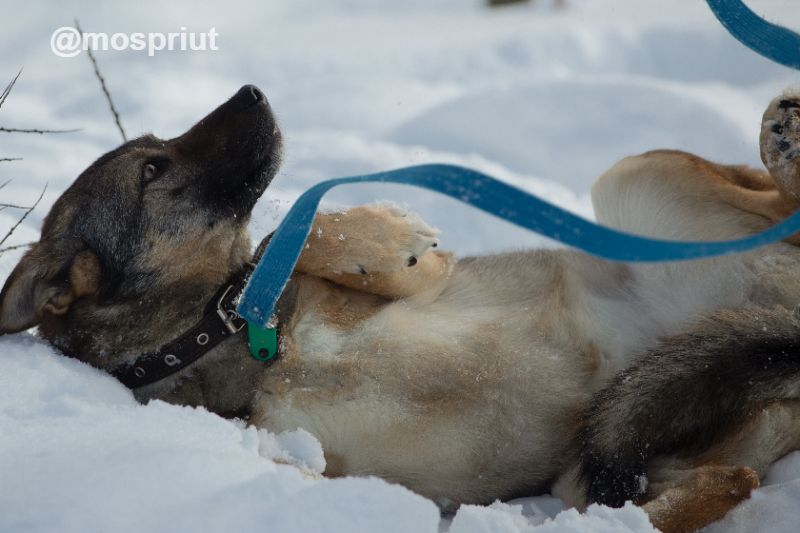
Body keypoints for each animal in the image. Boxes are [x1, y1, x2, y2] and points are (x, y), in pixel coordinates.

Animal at [1, 85, 800, 528]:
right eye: (152, 167)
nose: (253, 91)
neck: (237, 335)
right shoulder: (295, 459)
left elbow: (304, 236)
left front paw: (388, 234)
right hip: (611, 452)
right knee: (710, 482)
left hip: (635, 180)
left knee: (775, 198)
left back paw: (785, 136)